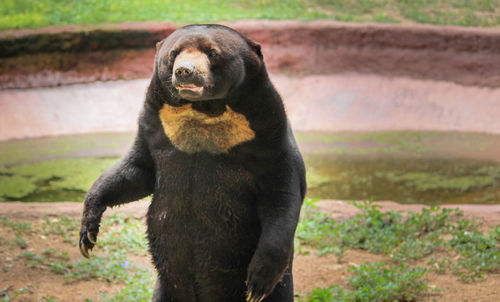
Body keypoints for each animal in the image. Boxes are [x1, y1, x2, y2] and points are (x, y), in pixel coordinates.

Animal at [79, 24, 304, 302]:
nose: (184, 71)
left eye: (212, 52)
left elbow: (281, 195)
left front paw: (257, 282)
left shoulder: (269, 135)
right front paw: (87, 236)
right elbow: (136, 171)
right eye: (173, 53)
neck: (203, 111)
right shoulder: (156, 128)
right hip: (165, 287)